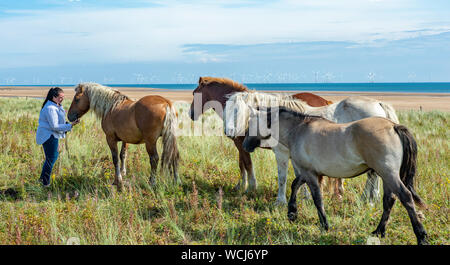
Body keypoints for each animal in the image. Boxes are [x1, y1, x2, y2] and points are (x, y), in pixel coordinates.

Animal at [187, 75, 334, 195]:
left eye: (195, 93)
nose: (191, 114)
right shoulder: (239, 144)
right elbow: (241, 164)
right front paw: (241, 186)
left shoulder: (240, 144)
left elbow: (247, 164)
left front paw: (251, 187)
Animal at [225, 92, 400, 203]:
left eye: (237, 110)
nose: (229, 132)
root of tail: (379, 104)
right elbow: (299, 176)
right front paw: (305, 197)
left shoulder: (281, 154)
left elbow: (282, 177)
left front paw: (280, 201)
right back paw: (370, 197)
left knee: (373, 175)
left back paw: (369, 198)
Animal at [244, 106, 428, 243]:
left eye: (252, 124)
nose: (245, 145)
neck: (298, 130)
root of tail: (393, 126)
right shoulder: (310, 172)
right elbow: (295, 184)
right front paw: (292, 213)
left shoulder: (310, 173)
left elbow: (317, 199)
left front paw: (324, 225)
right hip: (386, 176)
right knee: (389, 200)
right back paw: (379, 231)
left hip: (388, 174)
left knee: (405, 197)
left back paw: (421, 235)